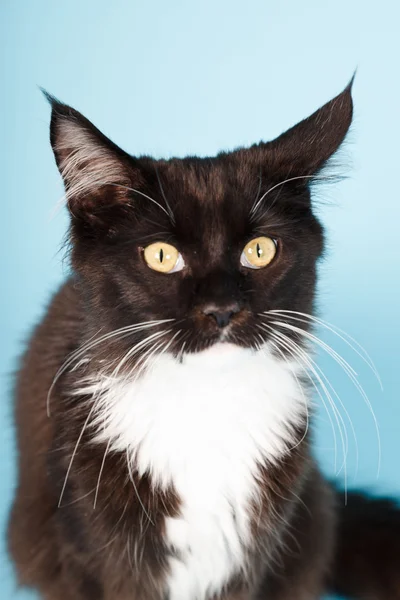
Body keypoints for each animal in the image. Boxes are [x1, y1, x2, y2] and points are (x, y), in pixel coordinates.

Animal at [7, 81, 400, 600]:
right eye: (160, 256)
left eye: (260, 250)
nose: (221, 309)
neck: (205, 403)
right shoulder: (88, 549)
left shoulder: (254, 550)